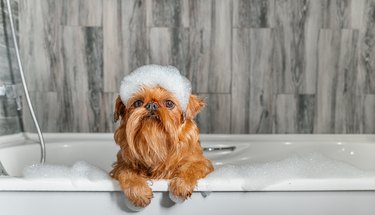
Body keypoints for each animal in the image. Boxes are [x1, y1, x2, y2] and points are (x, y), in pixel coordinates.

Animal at [110, 66, 213, 208]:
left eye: (169, 103)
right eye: (138, 103)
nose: (151, 105)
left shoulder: (201, 162)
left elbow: (191, 168)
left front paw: (181, 185)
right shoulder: (121, 164)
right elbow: (127, 173)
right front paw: (138, 191)